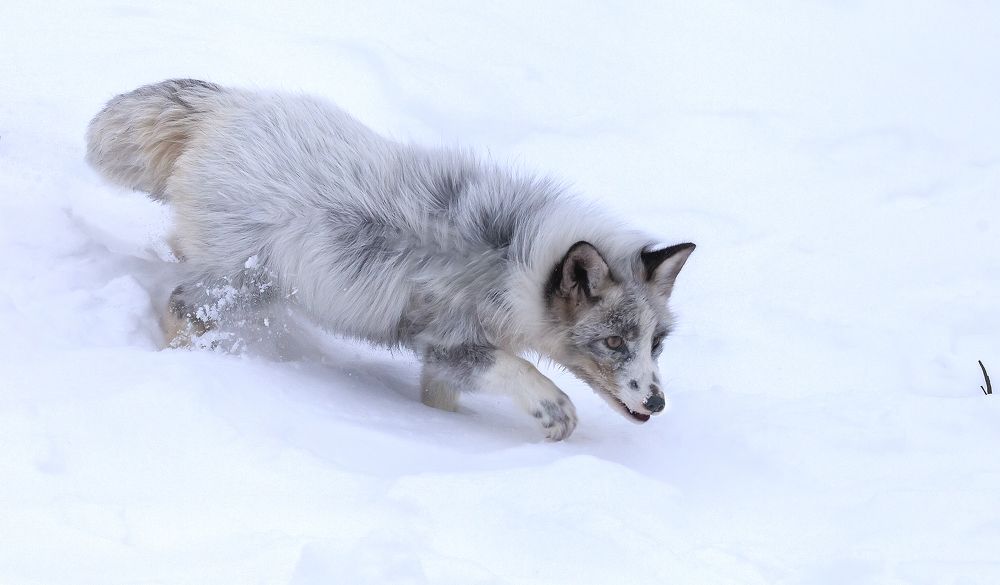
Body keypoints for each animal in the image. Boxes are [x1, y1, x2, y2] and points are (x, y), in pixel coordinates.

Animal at [85, 79, 696, 441]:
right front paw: (556, 412)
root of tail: (227, 105)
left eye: (655, 344)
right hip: (240, 284)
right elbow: (524, 372)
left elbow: (441, 405)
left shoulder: (443, 364)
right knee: (180, 305)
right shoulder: (453, 344)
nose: (659, 401)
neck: (516, 257)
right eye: (612, 342)